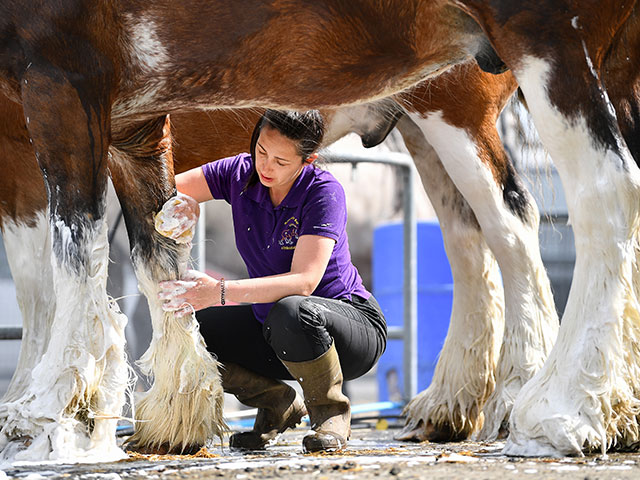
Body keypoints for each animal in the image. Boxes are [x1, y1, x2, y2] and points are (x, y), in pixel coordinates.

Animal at [0, 0, 636, 460]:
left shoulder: (61, 78)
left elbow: (74, 251)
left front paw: (57, 412)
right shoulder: (104, 129)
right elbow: (91, 271)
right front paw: (174, 414)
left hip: (511, 69)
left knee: (555, 212)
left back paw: (551, 406)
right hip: (431, 120)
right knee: (469, 238)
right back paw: (459, 406)